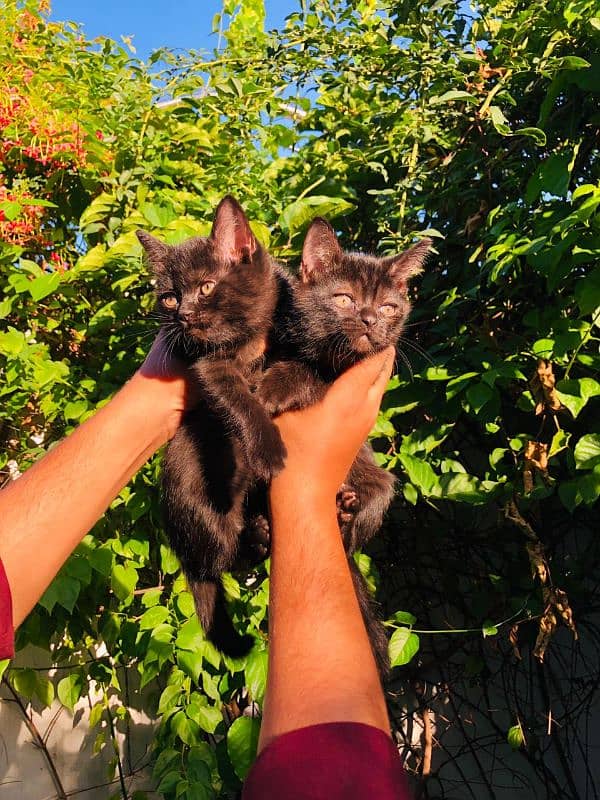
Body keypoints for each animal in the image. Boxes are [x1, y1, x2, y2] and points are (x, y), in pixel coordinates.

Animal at [137, 197, 284, 660]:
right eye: (168, 297)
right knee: (221, 561)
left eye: (205, 287)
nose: (183, 315)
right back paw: (253, 538)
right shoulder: (207, 368)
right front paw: (268, 448)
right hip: (200, 508)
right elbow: (239, 400)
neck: (243, 341)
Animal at [258, 219, 432, 676]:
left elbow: (312, 377)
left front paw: (277, 385)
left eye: (388, 306)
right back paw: (263, 530)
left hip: (380, 484)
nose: (369, 319)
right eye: (344, 299)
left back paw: (344, 510)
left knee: (354, 533)